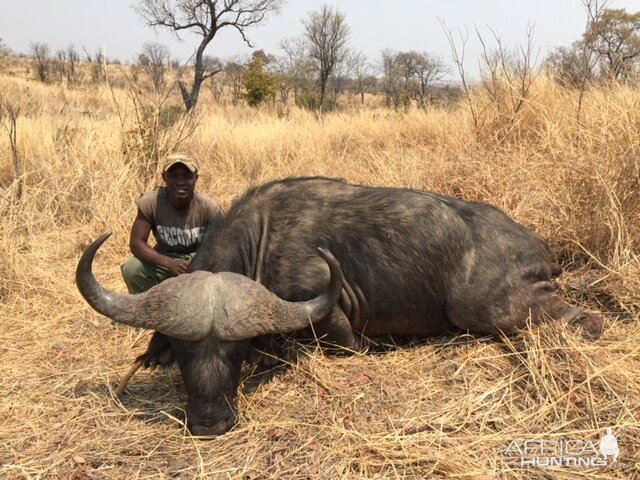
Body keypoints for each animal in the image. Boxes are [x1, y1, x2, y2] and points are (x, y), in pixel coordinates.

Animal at [77, 176, 604, 436]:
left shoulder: (326, 311)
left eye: (234, 352)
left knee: (585, 320)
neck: (263, 238)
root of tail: (538, 247)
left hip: (486, 309)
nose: (210, 424)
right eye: (184, 354)